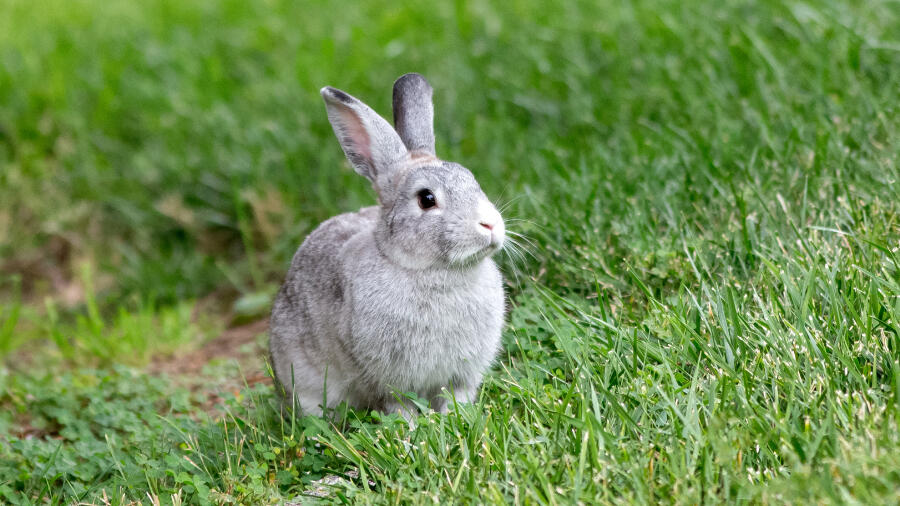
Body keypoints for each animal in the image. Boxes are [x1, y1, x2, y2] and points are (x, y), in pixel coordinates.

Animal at [269, 73, 506, 418]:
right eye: (426, 199)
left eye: (472, 180)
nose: (490, 225)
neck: (433, 270)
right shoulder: (391, 378)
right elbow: (400, 405)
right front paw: (412, 427)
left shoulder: (461, 374)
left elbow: (455, 397)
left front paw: (457, 418)